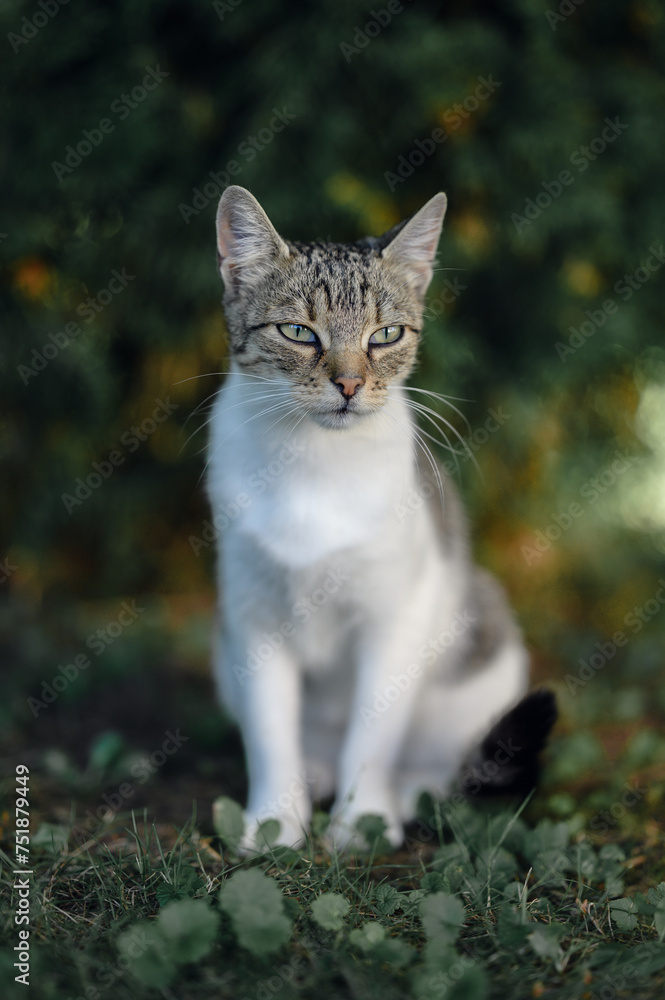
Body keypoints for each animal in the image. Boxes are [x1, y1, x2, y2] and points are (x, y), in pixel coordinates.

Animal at [206, 185, 556, 852]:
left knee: (448, 765)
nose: (348, 383)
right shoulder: (250, 615)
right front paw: (273, 823)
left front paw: (361, 821)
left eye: (386, 334)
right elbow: (269, 733)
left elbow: (374, 733)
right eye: (299, 332)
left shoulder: (398, 613)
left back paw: (408, 792)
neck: (313, 468)